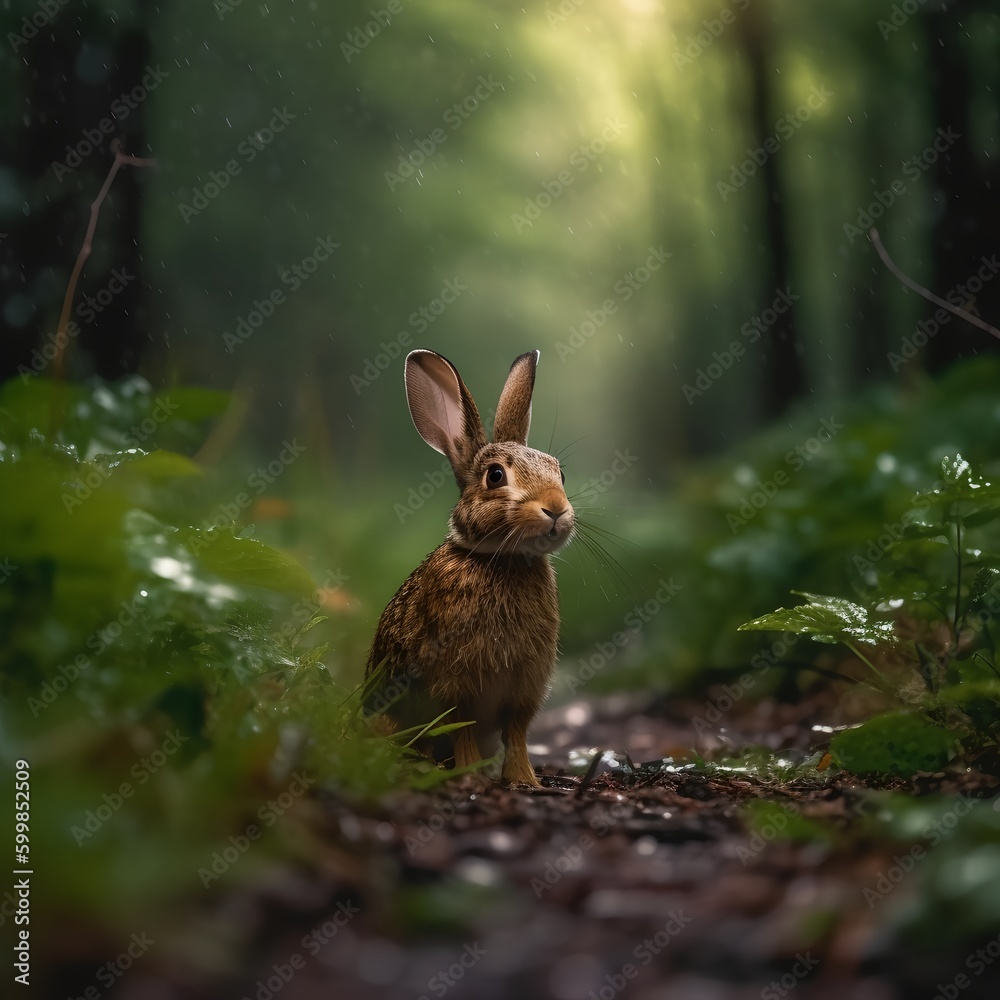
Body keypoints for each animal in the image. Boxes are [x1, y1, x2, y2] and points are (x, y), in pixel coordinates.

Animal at [365, 349, 575, 787]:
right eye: (495, 476)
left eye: (560, 473)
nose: (556, 509)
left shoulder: (523, 690)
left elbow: (517, 733)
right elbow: (460, 727)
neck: (502, 560)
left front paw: (525, 781)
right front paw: (469, 778)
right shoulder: (454, 686)